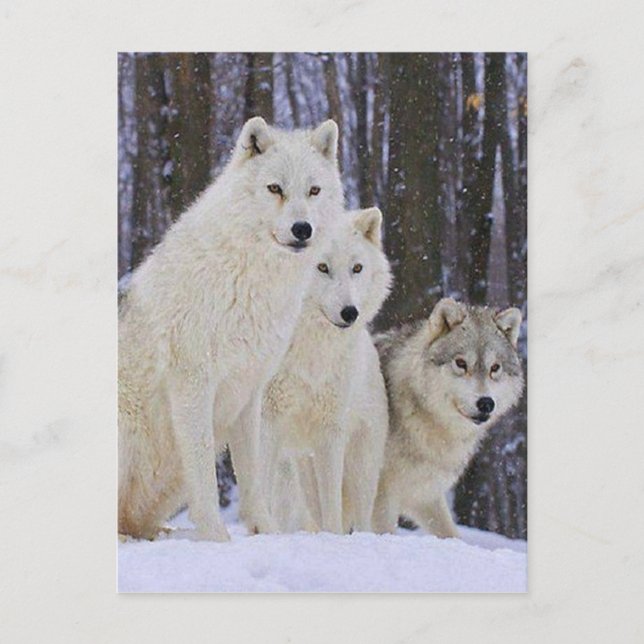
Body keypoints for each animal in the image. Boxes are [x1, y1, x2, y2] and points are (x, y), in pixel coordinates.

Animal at [118, 117, 344, 541]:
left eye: (313, 190)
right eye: (275, 188)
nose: (302, 228)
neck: (249, 278)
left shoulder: (250, 391)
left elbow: (253, 476)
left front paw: (265, 532)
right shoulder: (193, 384)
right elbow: (206, 476)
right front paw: (215, 538)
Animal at [263, 208, 392, 534]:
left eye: (357, 268)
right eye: (321, 267)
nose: (350, 313)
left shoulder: (330, 431)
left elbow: (332, 508)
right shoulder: (266, 421)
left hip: (360, 468)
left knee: (358, 517)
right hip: (294, 470)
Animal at [372, 298, 524, 538]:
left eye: (495, 368)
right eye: (461, 363)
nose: (486, 403)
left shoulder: (424, 495)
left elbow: (450, 533)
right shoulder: (381, 494)